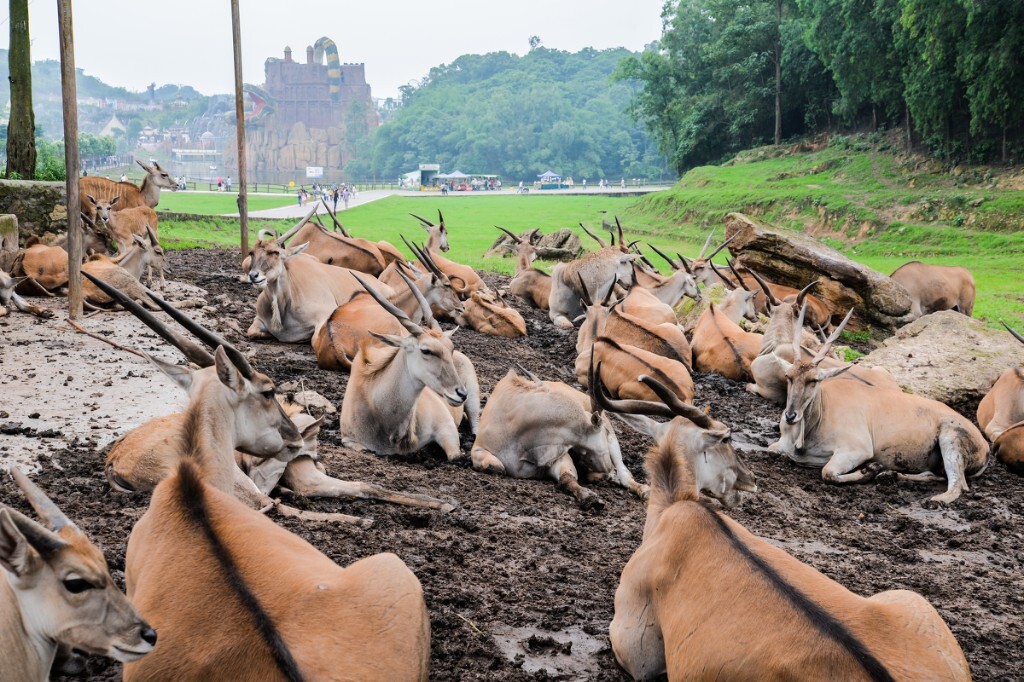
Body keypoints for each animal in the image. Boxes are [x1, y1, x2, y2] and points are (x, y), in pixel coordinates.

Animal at [471, 366, 647, 503]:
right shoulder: (479, 448)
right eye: (603, 431)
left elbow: (567, 477)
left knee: (624, 472)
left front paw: (589, 498)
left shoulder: (559, 456)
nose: (607, 466)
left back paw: (641, 489)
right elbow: (496, 466)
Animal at [770, 307, 987, 499]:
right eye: (788, 376)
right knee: (934, 475)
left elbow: (828, 473)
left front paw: (870, 469)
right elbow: (774, 450)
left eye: (813, 380)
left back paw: (932, 498)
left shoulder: (858, 449)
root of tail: (985, 444)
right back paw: (890, 475)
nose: (790, 415)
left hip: (951, 438)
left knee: (957, 486)